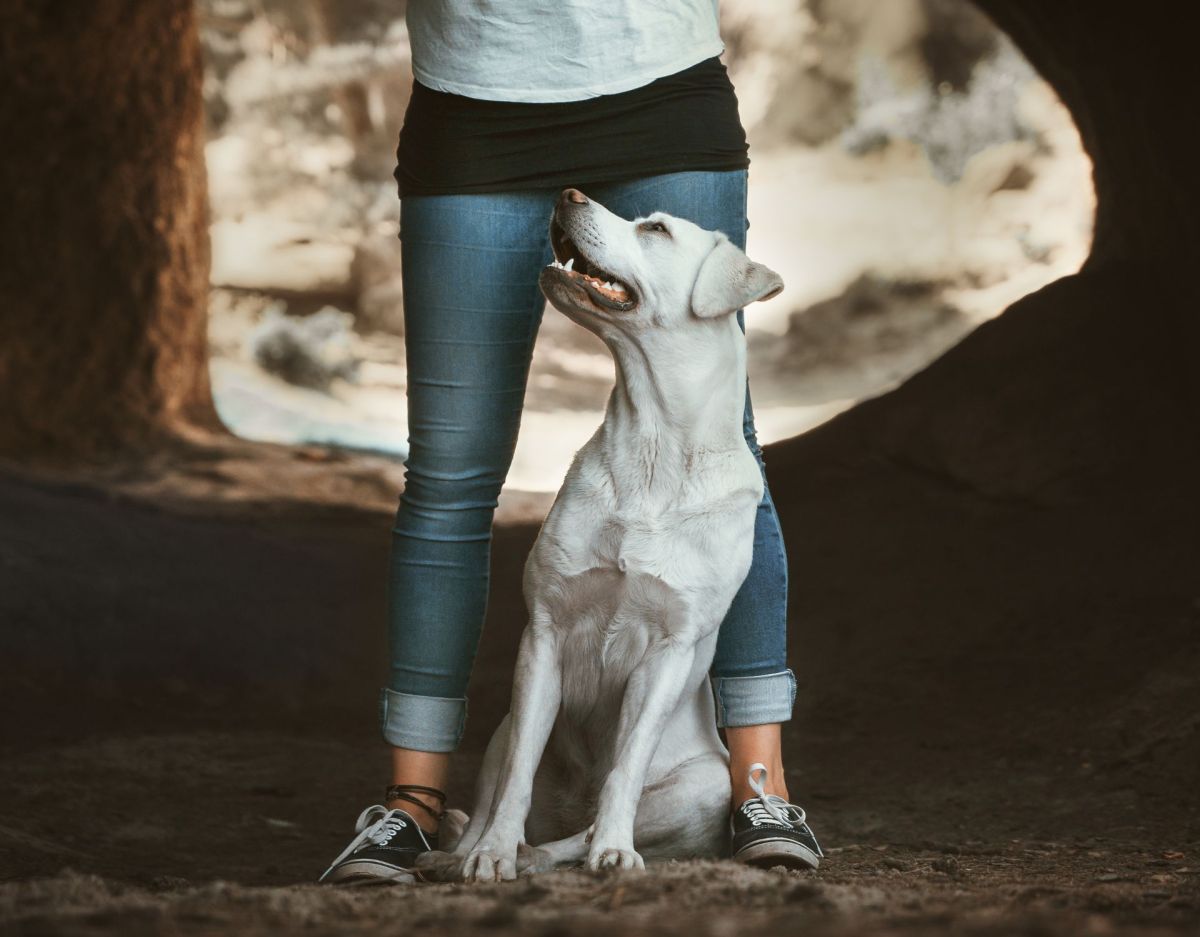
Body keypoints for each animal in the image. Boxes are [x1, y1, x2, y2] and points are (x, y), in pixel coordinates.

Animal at [427, 188, 782, 878]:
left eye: (656, 230)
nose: (567, 192)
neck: (652, 443)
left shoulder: (669, 650)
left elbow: (625, 767)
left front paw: (614, 850)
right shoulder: (543, 635)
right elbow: (516, 780)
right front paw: (491, 855)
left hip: (706, 785)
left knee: (577, 833)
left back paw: (576, 848)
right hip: (502, 725)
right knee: (495, 801)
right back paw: (462, 854)